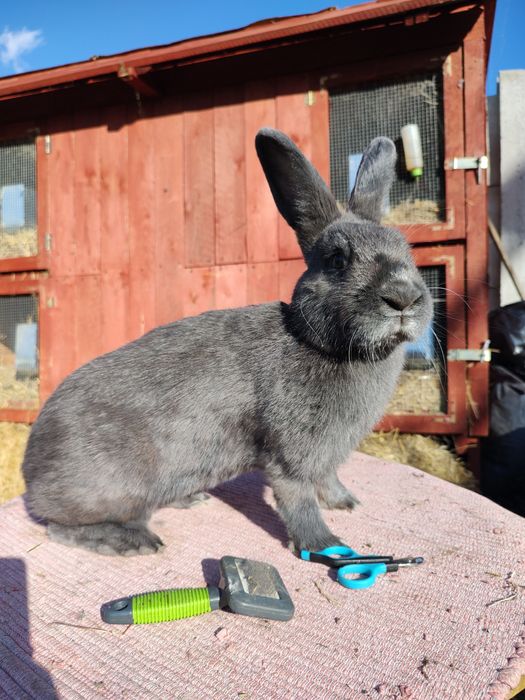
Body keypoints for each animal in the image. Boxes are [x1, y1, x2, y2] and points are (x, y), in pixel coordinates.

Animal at [22, 129, 432, 556]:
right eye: (337, 260)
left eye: (407, 250)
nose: (403, 297)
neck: (315, 343)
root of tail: (31, 472)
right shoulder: (293, 458)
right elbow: (298, 500)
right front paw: (324, 545)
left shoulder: (326, 458)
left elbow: (328, 480)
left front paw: (346, 502)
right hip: (118, 490)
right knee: (60, 528)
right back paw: (133, 542)